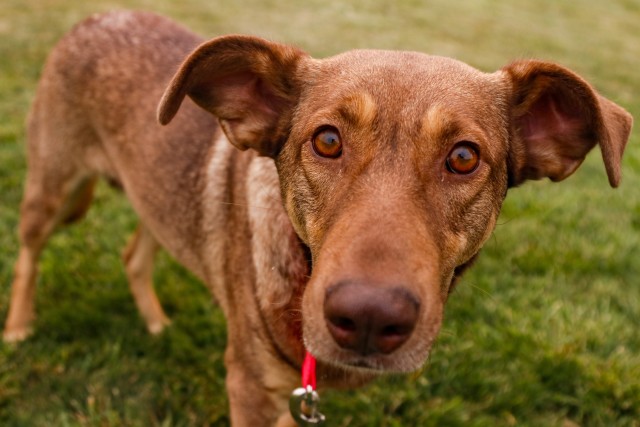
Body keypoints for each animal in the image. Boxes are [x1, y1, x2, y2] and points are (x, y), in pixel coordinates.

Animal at [3, 10, 636, 427]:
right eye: (327, 141)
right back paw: (18, 326)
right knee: (30, 252)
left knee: (135, 251)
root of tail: (97, 16)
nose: (369, 319)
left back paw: (155, 320)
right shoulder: (249, 390)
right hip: (51, 191)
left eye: (463, 157)